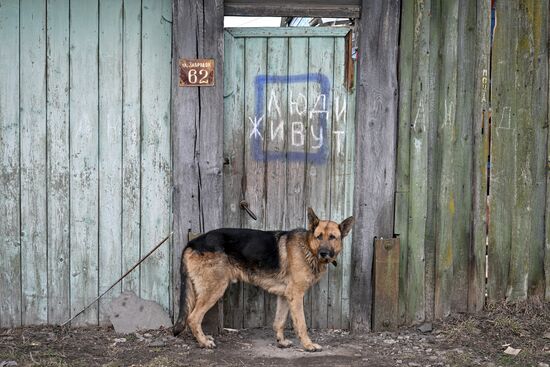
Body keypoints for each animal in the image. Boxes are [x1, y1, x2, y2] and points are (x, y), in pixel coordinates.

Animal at [175, 208, 356, 352]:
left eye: (332, 237)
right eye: (319, 237)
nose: (324, 253)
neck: (308, 248)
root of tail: (192, 242)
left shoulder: (285, 296)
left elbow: (279, 322)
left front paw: (281, 342)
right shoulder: (296, 295)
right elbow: (301, 324)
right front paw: (308, 345)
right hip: (215, 289)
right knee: (193, 318)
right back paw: (203, 342)